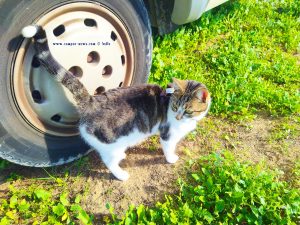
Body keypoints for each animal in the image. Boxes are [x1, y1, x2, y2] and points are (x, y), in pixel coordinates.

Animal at [21, 25, 211, 181]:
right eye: (175, 107)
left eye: (187, 110)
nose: (178, 117)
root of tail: (91, 102)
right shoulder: (167, 135)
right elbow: (168, 148)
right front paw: (171, 159)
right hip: (111, 146)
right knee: (108, 160)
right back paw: (121, 174)